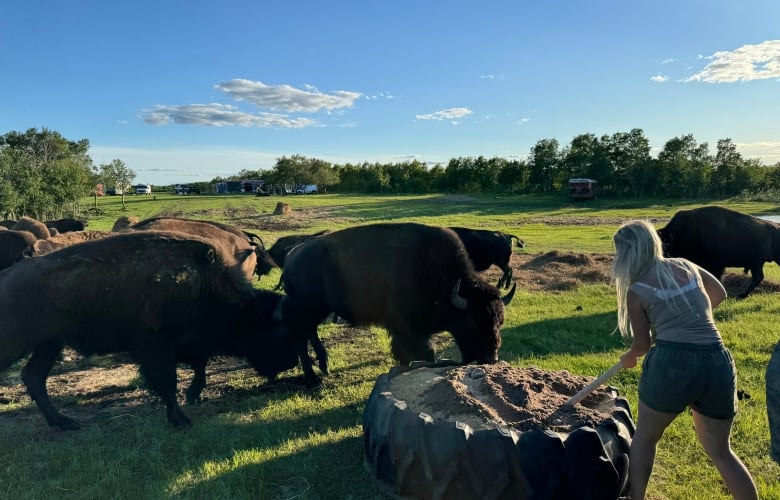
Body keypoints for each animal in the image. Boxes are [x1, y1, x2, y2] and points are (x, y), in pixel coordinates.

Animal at [0, 230, 298, 430]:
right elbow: (168, 382)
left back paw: (64, 422)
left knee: (34, 377)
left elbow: (198, 366)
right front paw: (181, 419)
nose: (290, 362)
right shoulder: (155, 347)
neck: (204, 282)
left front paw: (193, 396)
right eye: (277, 332)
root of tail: (7, 276)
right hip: (20, 344)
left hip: (49, 344)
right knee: (31, 376)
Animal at [282, 225, 516, 384]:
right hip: (306, 308)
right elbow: (418, 351)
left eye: (500, 322)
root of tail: (292, 256)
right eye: (471, 321)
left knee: (309, 332)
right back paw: (313, 377)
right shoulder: (405, 328)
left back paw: (324, 367)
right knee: (300, 336)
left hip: (319, 309)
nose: (490, 358)